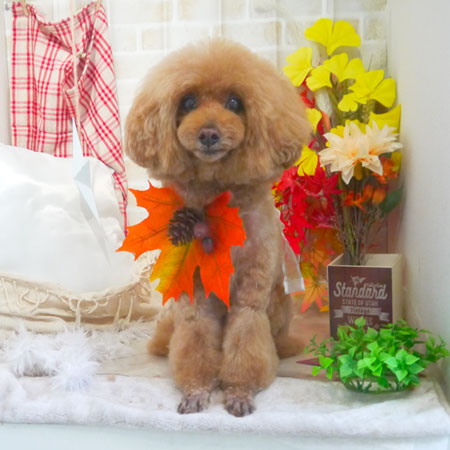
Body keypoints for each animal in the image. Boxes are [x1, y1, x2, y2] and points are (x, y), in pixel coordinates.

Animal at [125, 39, 311, 417]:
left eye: (235, 103)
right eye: (188, 102)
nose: (208, 133)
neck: (216, 197)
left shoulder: (251, 292)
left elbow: (246, 336)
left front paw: (239, 391)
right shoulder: (195, 294)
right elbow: (195, 339)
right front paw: (196, 389)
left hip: (278, 306)